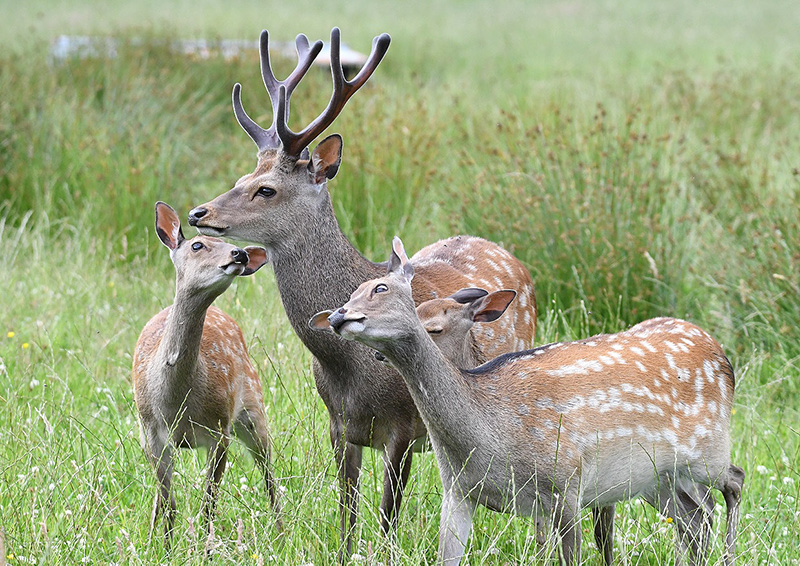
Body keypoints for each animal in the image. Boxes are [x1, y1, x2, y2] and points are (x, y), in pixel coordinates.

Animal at [132, 202, 282, 550]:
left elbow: (209, 503)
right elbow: (167, 501)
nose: (240, 254)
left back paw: (282, 533)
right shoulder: (151, 433)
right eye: (198, 245)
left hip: (254, 406)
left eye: (227, 242)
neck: (176, 400)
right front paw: (161, 547)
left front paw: (206, 549)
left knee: (270, 477)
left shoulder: (219, 429)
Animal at [186, 28, 538, 557]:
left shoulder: (404, 426)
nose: (198, 213)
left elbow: (387, 518)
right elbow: (347, 515)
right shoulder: (338, 424)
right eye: (240, 178)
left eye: (265, 189)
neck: (347, 370)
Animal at [309, 237, 745, 566]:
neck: (488, 434)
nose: (338, 317)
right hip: (660, 480)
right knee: (696, 519)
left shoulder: (566, 483)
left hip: (707, 452)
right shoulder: (458, 491)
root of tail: (722, 356)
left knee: (734, 482)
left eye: (379, 288)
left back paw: (729, 555)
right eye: (351, 292)